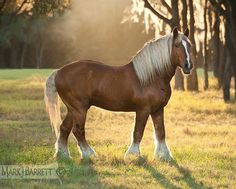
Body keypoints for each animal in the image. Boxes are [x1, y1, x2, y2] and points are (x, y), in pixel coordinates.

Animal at [44, 28, 194, 161]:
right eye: (176, 45)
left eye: (190, 45)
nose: (188, 66)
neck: (152, 77)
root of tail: (59, 72)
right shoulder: (143, 110)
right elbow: (138, 132)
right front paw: (133, 155)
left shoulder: (158, 109)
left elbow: (160, 132)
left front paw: (164, 156)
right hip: (80, 109)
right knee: (78, 130)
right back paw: (89, 155)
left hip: (72, 109)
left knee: (64, 128)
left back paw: (63, 155)